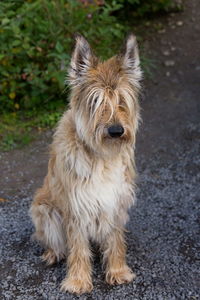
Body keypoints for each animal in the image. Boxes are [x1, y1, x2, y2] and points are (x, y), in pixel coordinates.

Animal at [29, 32, 142, 292]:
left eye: (121, 100)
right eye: (96, 101)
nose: (116, 131)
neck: (102, 155)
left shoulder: (115, 201)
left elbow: (115, 240)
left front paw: (117, 270)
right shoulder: (77, 206)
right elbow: (78, 247)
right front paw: (78, 281)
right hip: (44, 210)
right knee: (56, 243)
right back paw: (53, 254)